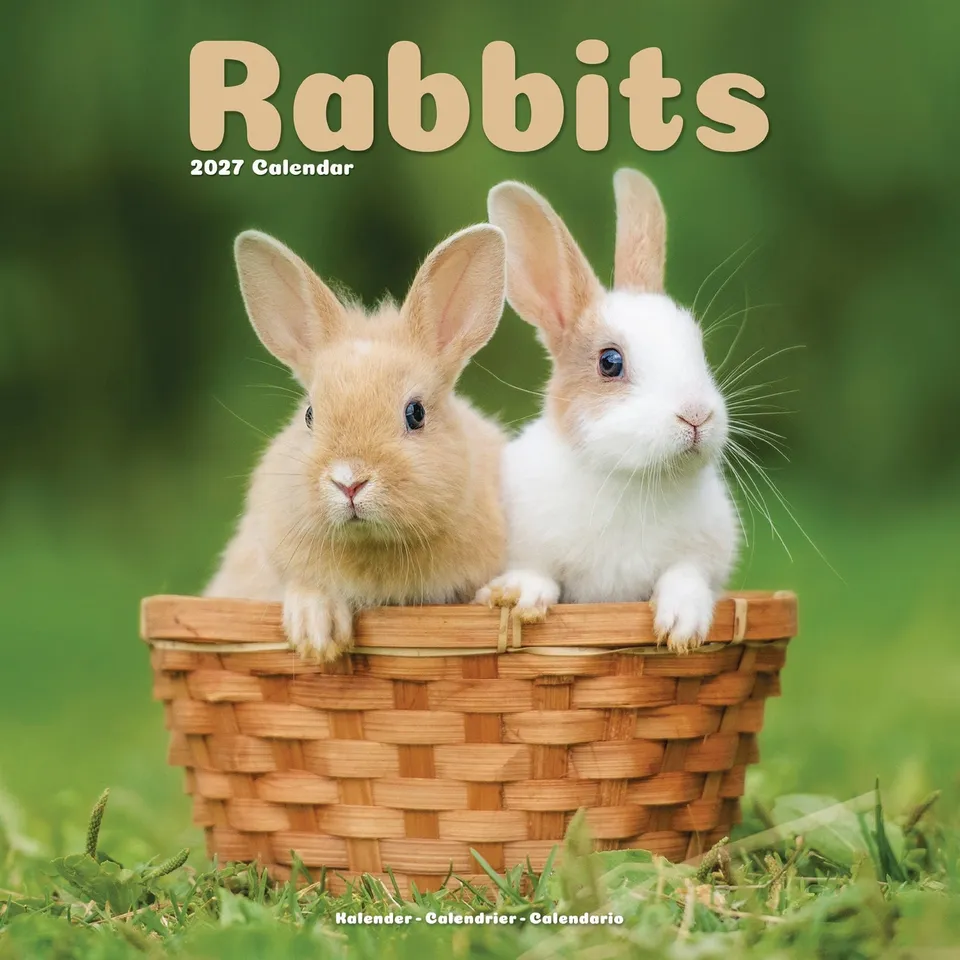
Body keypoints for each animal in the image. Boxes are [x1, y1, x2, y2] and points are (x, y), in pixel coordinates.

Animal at [475, 169, 739, 652]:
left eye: (699, 346)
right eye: (610, 362)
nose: (696, 415)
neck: (632, 479)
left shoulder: (704, 556)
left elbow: (686, 575)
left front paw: (682, 628)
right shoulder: (527, 544)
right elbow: (538, 572)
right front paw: (519, 597)